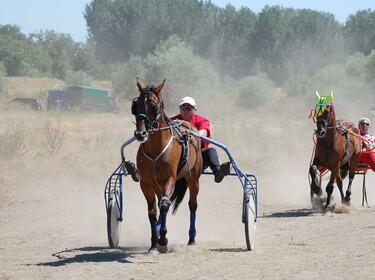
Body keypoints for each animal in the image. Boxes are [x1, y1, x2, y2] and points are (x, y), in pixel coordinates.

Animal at [131, 77, 203, 254]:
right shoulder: (146, 184)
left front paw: (163, 241)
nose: (141, 134)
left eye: (154, 105)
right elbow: (152, 212)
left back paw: (191, 239)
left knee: (192, 205)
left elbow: (164, 205)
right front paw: (153, 244)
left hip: (194, 178)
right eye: (135, 105)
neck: (156, 150)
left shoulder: (169, 179)